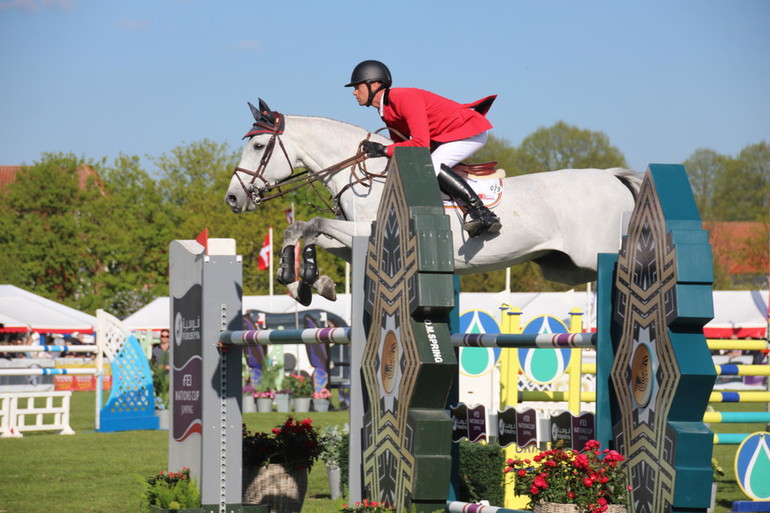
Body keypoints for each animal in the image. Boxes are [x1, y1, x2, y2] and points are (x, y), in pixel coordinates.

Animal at [224, 100, 640, 304]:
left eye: (258, 146)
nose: (232, 197)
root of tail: (612, 177)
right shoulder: (356, 239)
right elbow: (304, 230)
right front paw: (307, 283)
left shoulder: (367, 230)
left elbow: (312, 225)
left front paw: (304, 275)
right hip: (567, 269)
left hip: (595, 254)